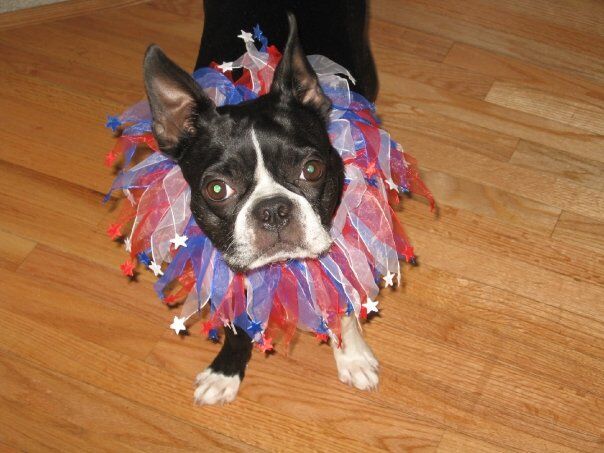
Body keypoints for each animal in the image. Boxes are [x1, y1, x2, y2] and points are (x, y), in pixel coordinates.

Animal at [143, 0, 378, 402]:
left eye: (312, 169)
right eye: (217, 190)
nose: (273, 210)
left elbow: (341, 296)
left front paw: (353, 357)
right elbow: (236, 323)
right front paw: (225, 371)